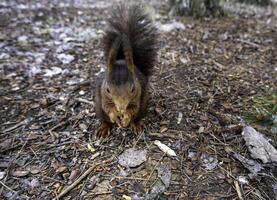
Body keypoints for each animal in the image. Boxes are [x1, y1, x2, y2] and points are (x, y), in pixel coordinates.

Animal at [94, 4, 157, 139]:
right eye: (108, 89)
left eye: (133, 89)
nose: (121, 108)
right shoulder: (104, 96)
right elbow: (108, 108)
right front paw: (115, 116)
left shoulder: (137, 95)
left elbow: (133, 109)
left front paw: (126, 117)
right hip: (98, 108)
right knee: (105, 119)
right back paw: (103, 128)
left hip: (144, 105)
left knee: (137, 117)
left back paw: (136, 124)